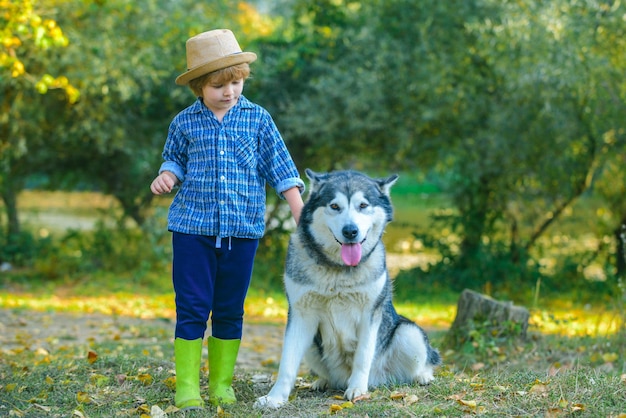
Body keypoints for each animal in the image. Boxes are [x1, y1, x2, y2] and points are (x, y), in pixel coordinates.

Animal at [254, 170, 438, 408]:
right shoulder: (300, 314)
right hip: (312, 346)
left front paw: (357, 389)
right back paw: (322, 381)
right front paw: (275, 398)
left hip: (409, 333)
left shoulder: (370, 314)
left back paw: (423, 375)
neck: (339, 269)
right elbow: (287, 364)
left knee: (422, 360)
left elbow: (362, 357)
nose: (350, 231)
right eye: (334, 206)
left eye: (363, 205)